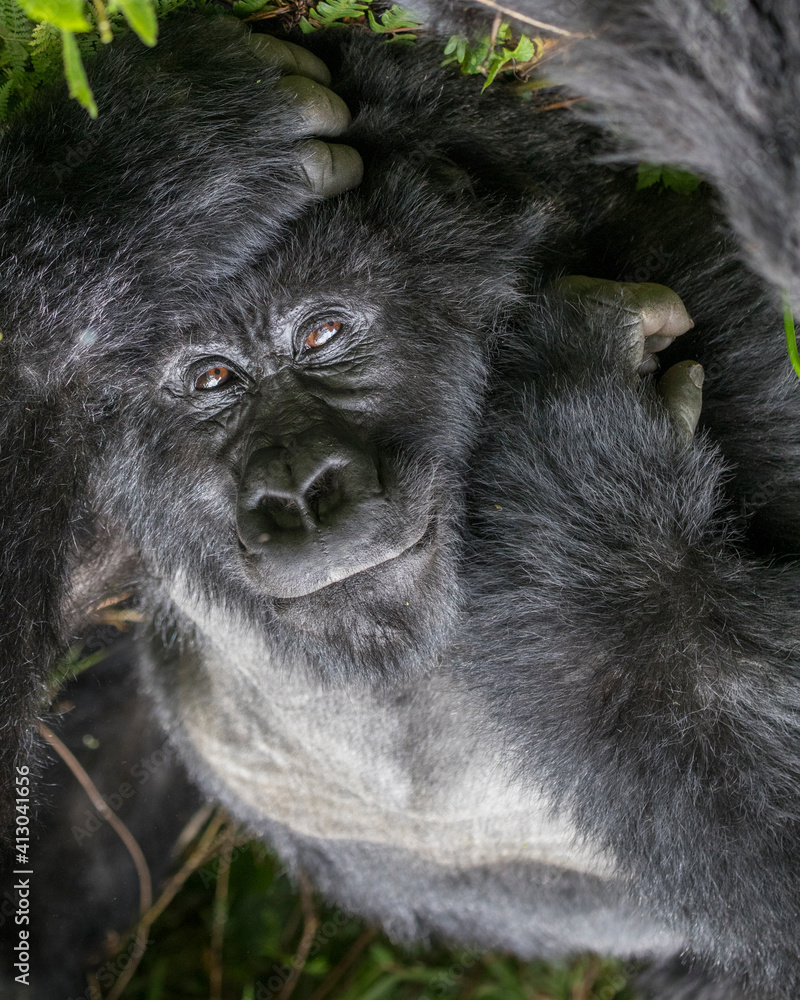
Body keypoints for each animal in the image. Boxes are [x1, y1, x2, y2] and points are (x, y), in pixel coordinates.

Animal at [1, 3, 800, 996]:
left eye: (323, 333)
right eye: (214, 379)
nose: (298, 494)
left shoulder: (729, 331)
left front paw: (574, 465)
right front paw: (136, 184)